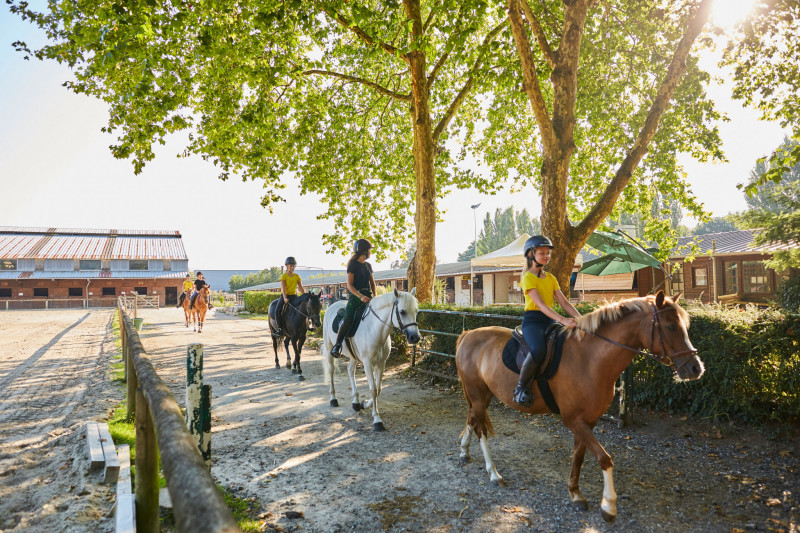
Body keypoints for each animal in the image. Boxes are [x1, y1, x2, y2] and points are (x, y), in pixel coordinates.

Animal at [324, 288, 422, 430]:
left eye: (416, 311)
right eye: (402, 312)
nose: (415, 337)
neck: (375, 329)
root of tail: (331, 306)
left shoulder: (381, 363)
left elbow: (379, 388)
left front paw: (365, 404)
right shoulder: (368, 363)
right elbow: (373, 389)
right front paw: (377, 420)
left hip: (354, 356)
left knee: (350, 370)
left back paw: (356, 402)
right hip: (329, 348)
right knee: (331, 371)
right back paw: (333, 399)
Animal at [454, 288, 704, 520]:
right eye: (671, 327)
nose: (696, 368)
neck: (590, 358)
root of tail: (468, 334)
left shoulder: (588, 420)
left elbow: (579, 457)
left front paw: (576, 494)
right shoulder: (573, 420)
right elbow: (604, 458)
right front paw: (608, 505)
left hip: (484, 393)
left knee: (471, 417)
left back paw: (464, 451)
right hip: (477, 393)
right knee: (481, 429)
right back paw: (493, 474)